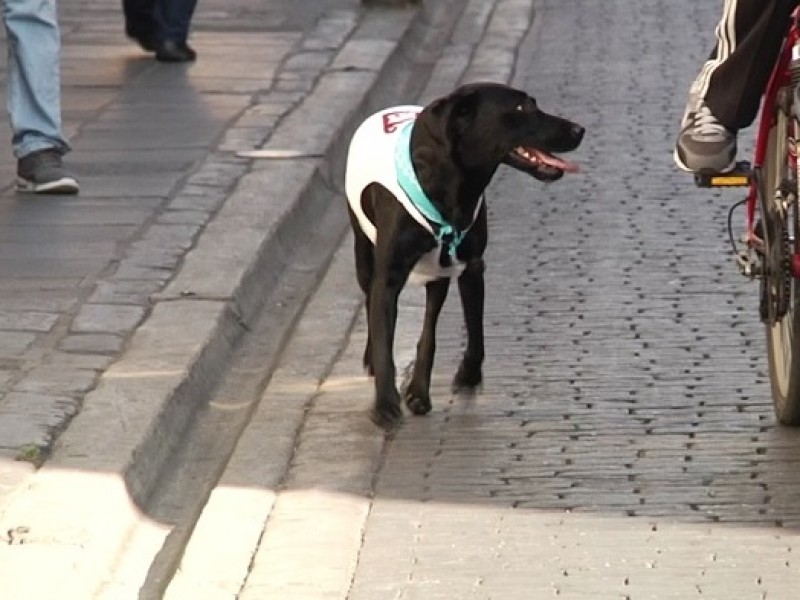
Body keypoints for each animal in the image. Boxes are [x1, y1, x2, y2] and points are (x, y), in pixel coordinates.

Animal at [344, 82, 580, 428]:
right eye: (520, 108)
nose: (579, 129)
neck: (455, 186)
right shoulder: (388, 278)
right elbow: (385, 341)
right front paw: (386, 403)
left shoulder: (471, 266)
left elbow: (473, 332)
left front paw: (466, 375)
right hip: (364, 255)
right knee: (369, 299)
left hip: (438, 272)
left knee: (429, 325)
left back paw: (419, 389)